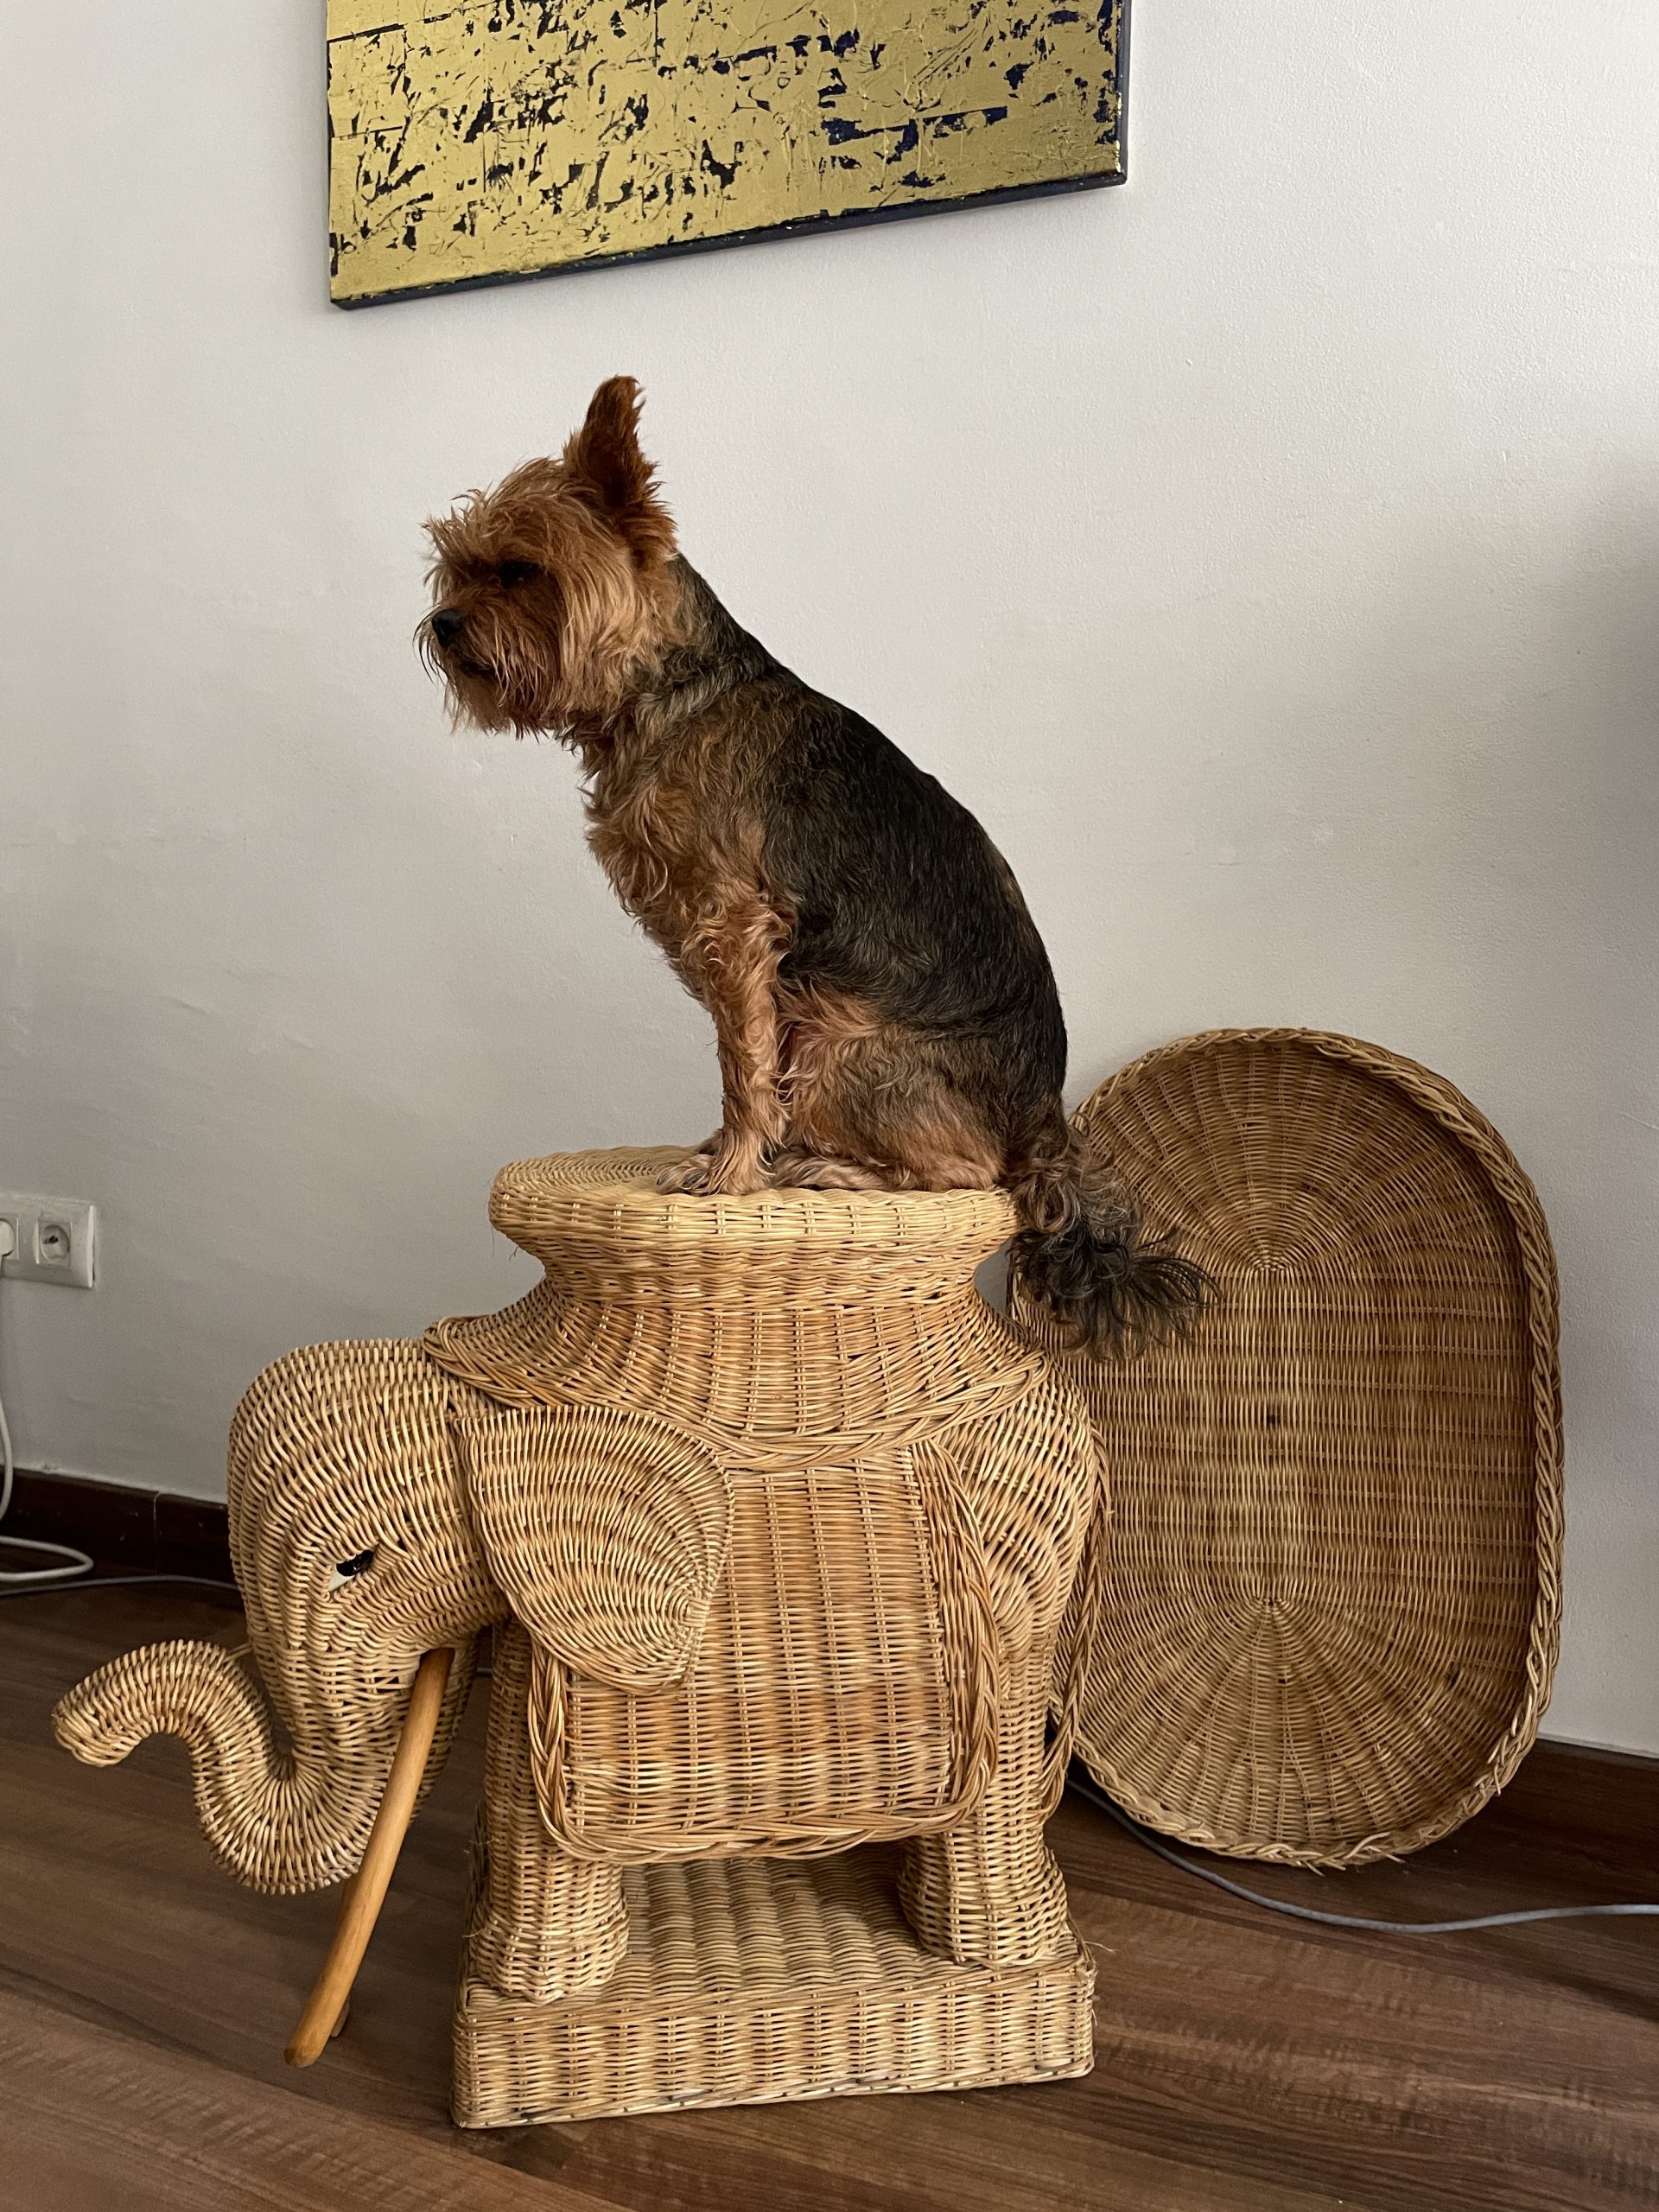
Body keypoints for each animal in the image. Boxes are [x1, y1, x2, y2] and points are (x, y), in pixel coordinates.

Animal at [421, 377, 1207, 1352]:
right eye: (454, 569)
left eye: (522, 570)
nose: (442, 624)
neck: (663, 695)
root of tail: (1047, 1120)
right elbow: (745, 1064)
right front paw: (729, 1157)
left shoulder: (736, 926)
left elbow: (742, 1068)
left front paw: (727, 1176)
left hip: (838, 1041)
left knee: (976, 1171)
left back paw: (837, 1169)